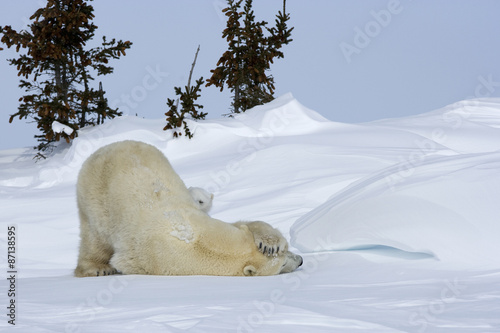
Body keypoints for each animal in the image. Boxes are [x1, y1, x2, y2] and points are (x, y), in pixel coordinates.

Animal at [73, 139, 300, 276]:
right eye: (281, 265)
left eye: (286, 251)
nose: (300, 260)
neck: (199, 243)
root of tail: (111, 144)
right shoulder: (150, 260)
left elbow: (245, 223)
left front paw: (270, 243)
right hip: (94, 196)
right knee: (94, 237)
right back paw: (97, 268)